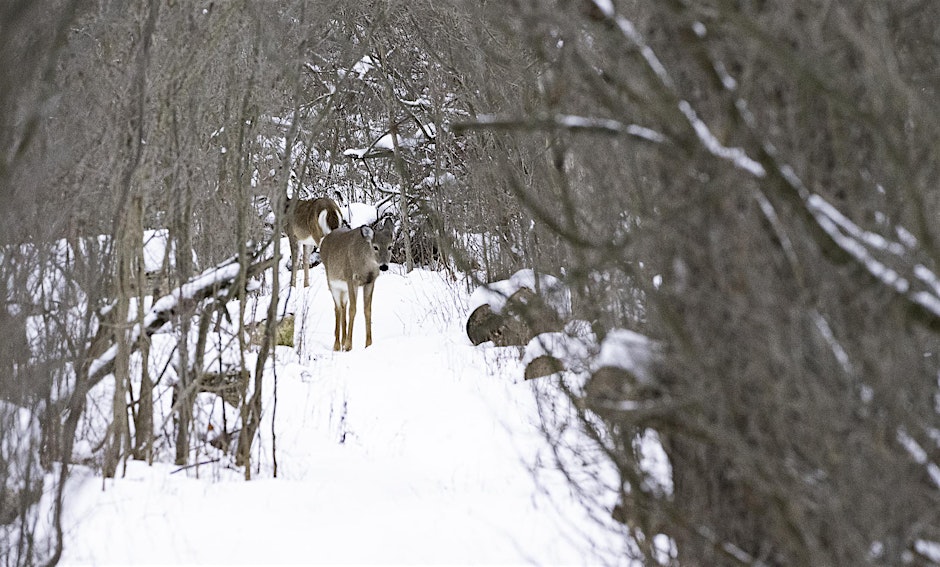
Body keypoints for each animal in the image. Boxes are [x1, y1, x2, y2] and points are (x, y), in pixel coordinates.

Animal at [318, 216, 394, 350]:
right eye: (375, 247)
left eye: (390, 246)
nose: (384, 266)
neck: (366, 268)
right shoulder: (351, 279)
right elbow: (353, 310)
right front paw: (349, 345)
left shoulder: (370, 282)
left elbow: (367, 310)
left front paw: (368, 344)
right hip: (332, 284)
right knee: (337, 308)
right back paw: (337, 345)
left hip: (344, 289)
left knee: (343, 306)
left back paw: (342, 341)